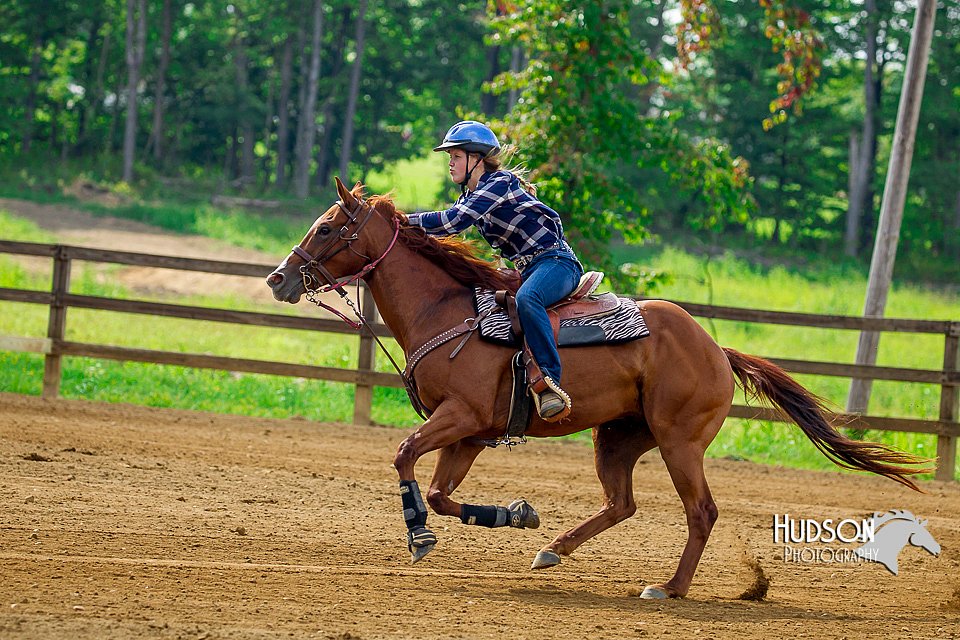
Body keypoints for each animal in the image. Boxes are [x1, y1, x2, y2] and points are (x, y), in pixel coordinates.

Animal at [266, 179, 932, 600]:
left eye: (327, 227)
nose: (278, 278)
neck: (445, 310)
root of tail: (716, 349)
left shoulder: (459, 417)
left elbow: (405, 458)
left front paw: (420, 536)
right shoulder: (473, 434)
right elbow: (442, 493)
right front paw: (516, 513)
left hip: (678, 441)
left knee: (701, 511)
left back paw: (669, 588)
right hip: (617, 437)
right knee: (622, 503)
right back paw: (553, 548)